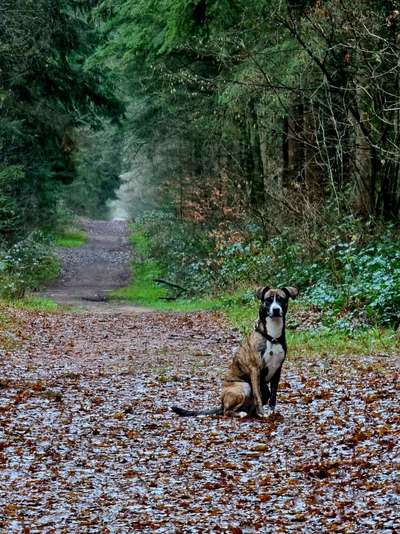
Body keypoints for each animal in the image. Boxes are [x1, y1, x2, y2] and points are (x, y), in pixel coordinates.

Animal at [170, 286, 298, 420]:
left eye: (281, 299)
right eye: (268, 300)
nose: (276, 309)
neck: (272, 337)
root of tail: (222, 403)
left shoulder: (277, 370)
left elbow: (272, 396)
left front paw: (272, 412)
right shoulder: (255, 369)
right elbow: (258, 395)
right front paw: (263, 413)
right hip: (244, 386)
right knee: (227, 411)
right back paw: (241, 413)